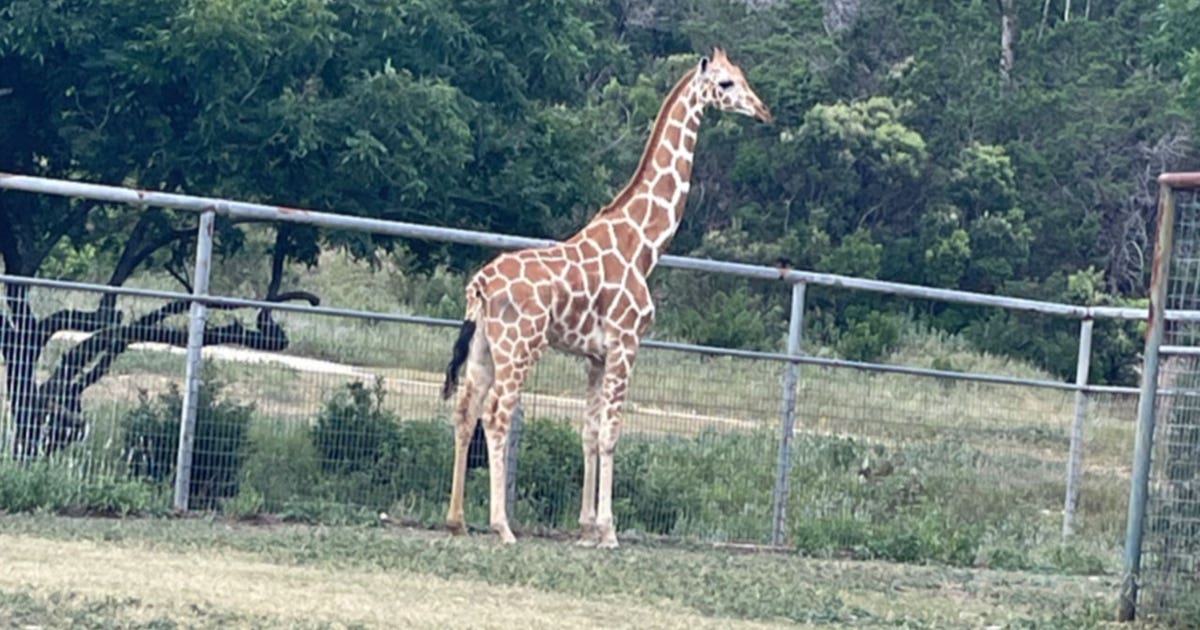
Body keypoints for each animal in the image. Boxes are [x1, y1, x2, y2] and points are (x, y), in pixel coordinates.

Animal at [441, 48, 772, 547]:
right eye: (726, 83)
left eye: (743, 76)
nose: (763, 111)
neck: (644, 244)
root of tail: (480, 284)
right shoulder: (625, 345)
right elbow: (613, 432)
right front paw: (609, 531)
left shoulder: (595, 356)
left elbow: (589, 431)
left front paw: (586, 528)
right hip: (519, 348)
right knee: (498, 415)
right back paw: (502, 526)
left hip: (484, 350)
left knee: (465, 411)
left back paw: (456, 519)